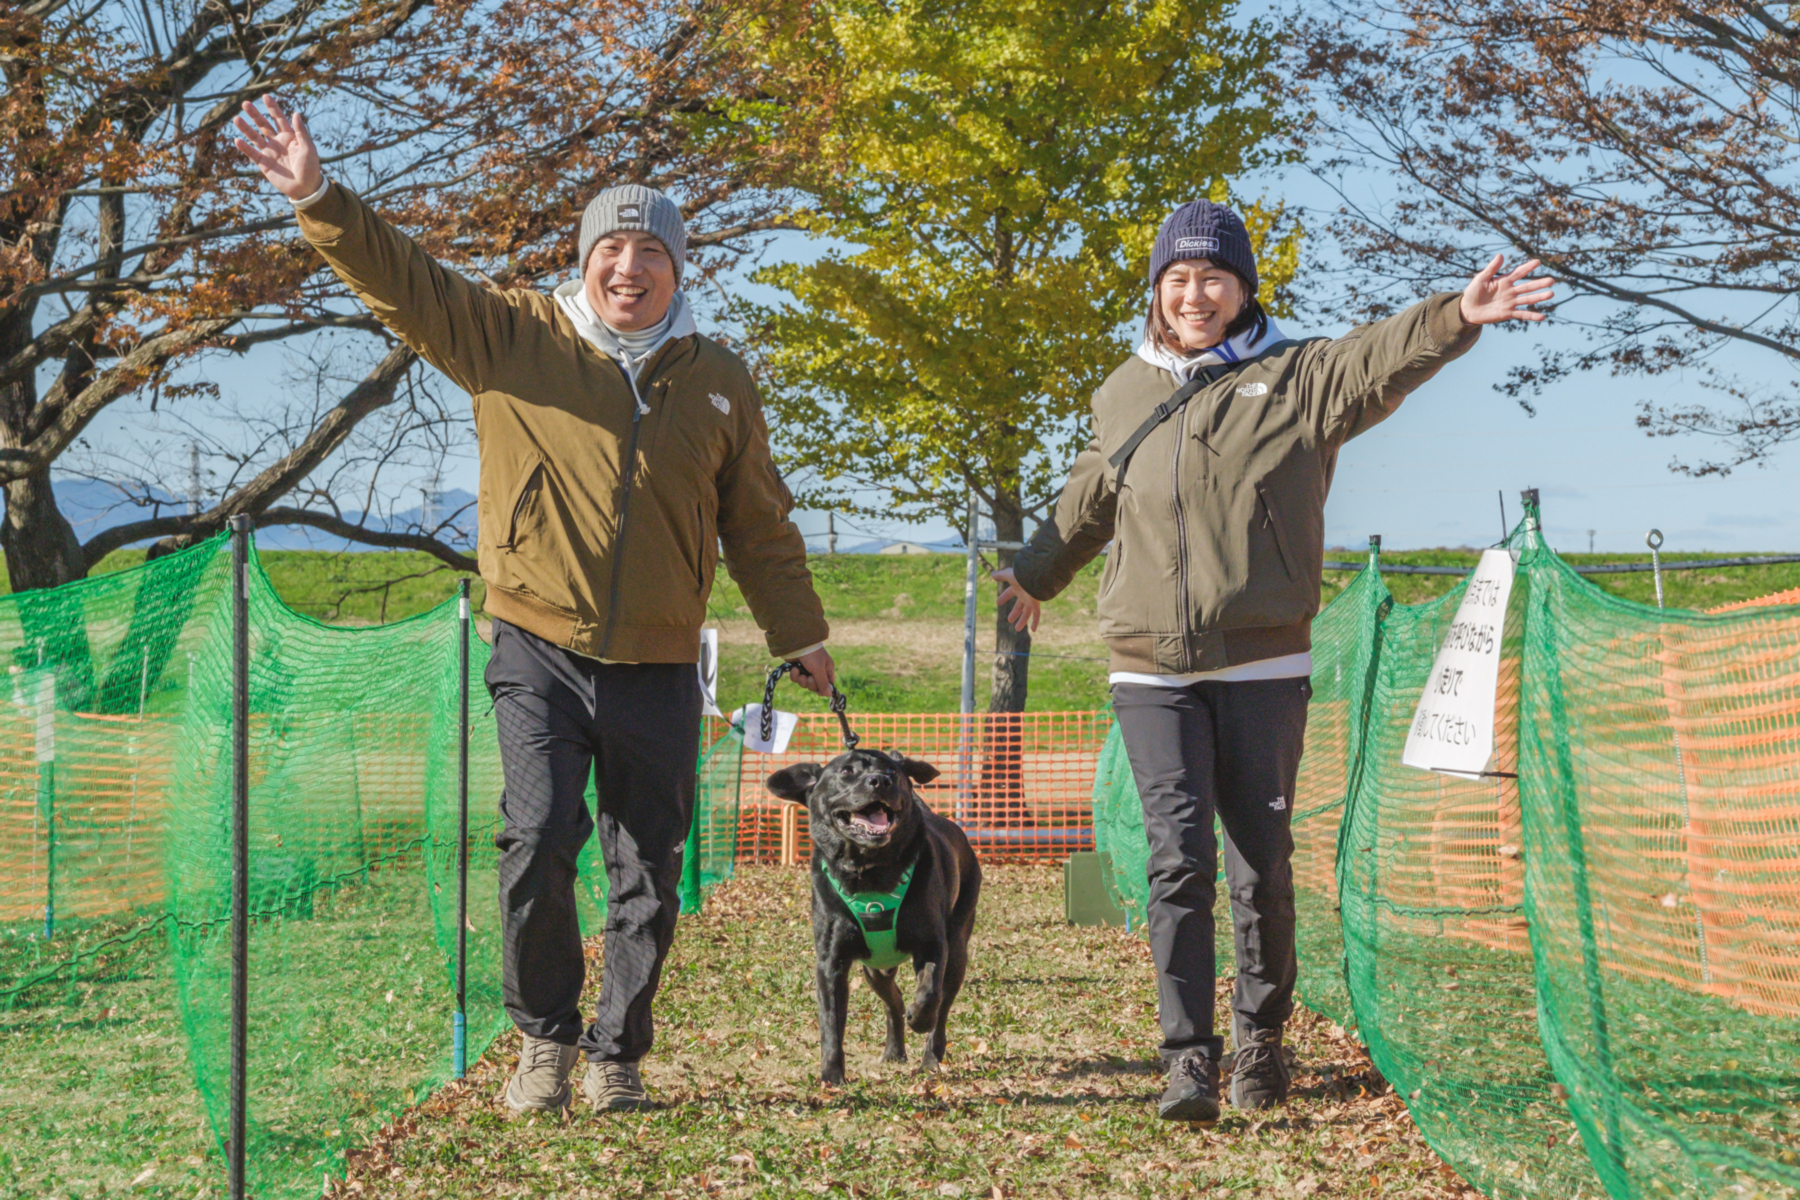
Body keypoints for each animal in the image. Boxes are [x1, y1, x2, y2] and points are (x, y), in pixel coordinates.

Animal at [766, 744, 979, 1086]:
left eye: (892, 770)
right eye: (846, 771)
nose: (880, 780)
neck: (870, 873)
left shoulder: (933, 944)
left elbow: (930, 989)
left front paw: (921, 1017)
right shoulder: (831, 961)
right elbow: (830, 1022)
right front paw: (831, 1076)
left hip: (958, 945)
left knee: (941, 1006)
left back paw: (930, 1057)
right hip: (875, 969)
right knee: (894, 1002)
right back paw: (894, 1050)